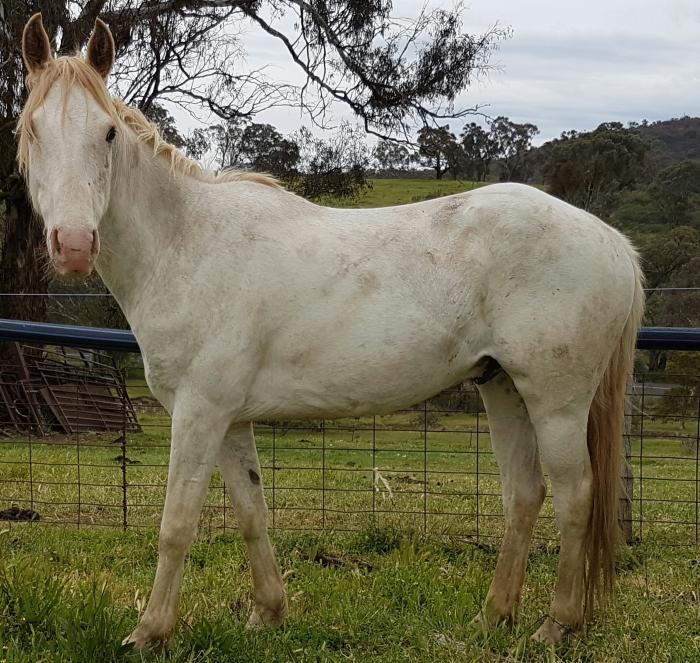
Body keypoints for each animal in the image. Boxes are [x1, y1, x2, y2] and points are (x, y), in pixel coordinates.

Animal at [17, 14, 644, 650]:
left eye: (107, 134)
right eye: (33, 129)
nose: (73, 245)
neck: (185, 243)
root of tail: (611, 241)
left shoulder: (199, 411)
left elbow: (177, 524)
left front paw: (149, 632)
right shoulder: (229, 418)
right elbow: (251, 512)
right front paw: (267, 613)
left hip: (556, 400)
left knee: (576, 495)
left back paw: (554, 625)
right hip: (503, 388)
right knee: (524, 494)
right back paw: (493, 617)